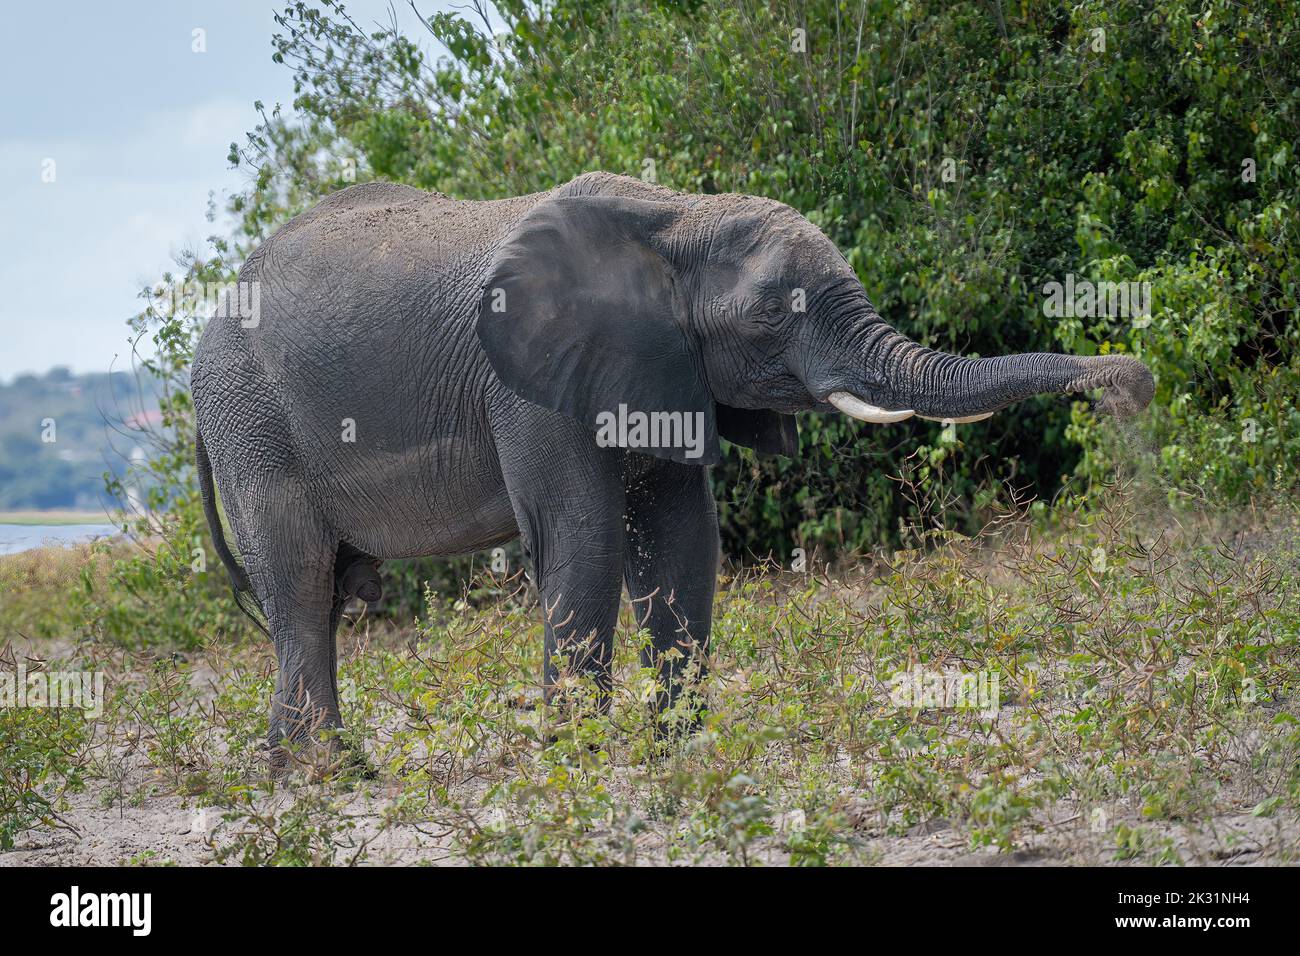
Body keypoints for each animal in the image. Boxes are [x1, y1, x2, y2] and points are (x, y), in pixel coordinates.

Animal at [192, 171, 1154, 764]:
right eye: (775, 313)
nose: (1132, 389)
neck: (677, 214)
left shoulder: (655, 368)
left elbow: (682, 540)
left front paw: (676, 752)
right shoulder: (526, 382)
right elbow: (583, 541)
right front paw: (577, 766)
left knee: (326, 596)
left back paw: (318, 769)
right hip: (250, 423)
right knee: (302, 584)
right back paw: (322, 777)